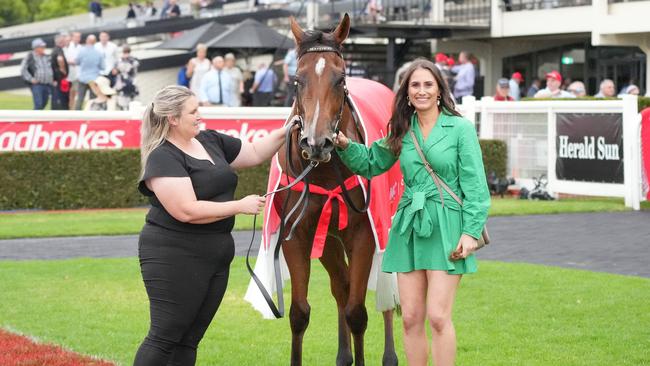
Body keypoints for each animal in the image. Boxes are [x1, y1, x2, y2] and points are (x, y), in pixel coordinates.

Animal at [270, 14, 398, 366]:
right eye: (296, 80)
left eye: (340, 79)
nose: (317, 142)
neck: (326, 172)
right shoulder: (298, 234)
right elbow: (299, 313)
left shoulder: (364, 234)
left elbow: (358, 312)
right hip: (327, 237)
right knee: (340, 284)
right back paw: (343, 355)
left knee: (387, 295)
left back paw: (390, 356)